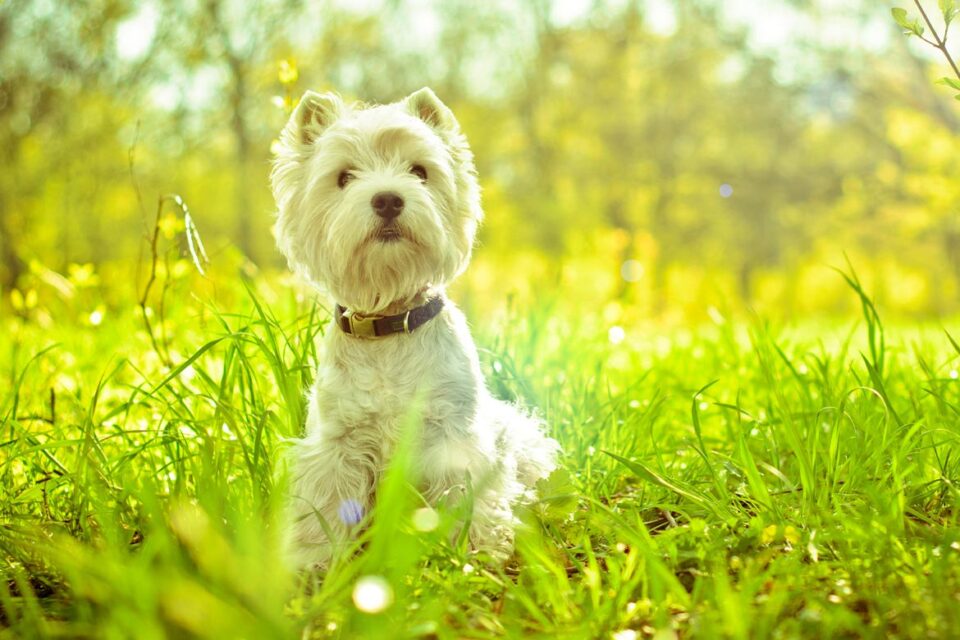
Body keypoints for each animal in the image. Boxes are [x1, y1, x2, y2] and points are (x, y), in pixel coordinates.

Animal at [270, 86, 560, 568]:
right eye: (344, 177)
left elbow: (466, 498)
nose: (388, 199)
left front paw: (472, 556)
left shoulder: (453, 437)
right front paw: (313, 564)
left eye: (420, 171)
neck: (389, 322)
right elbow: (324, 509)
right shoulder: (337, 445)